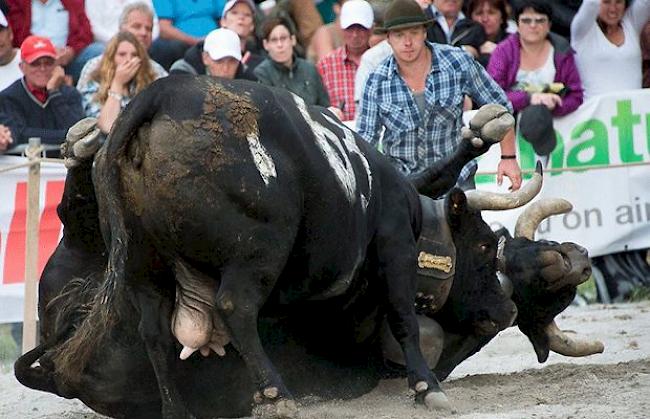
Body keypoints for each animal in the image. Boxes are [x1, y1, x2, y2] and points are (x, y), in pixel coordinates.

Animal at [13, 77, 604, 418]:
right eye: (486, 245)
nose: (573, 259)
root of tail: (160, 96)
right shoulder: (393, 241)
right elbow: (408, 321)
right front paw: (427, 385)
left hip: (137, 264)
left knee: (156, 330)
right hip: (257, 247)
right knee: (233, 307)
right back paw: (277, 393)